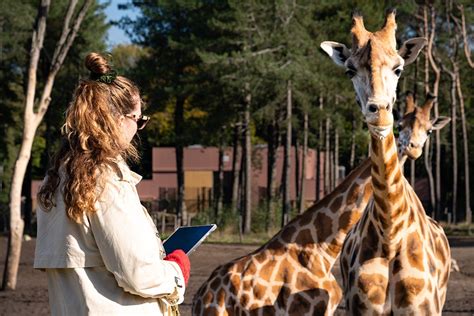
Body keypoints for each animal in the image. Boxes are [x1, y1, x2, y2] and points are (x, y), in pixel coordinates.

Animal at [192, 98, 444, 314]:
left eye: (429, 129)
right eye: (400, 126)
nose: (411, 147)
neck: (323, 249)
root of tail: (200, 297)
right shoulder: (307, 310)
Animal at [320, 9, 450, 314]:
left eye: (398, 68)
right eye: (350, 70)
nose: (378, 112)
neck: (391, 232)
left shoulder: (423, 308)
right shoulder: (361, 308)